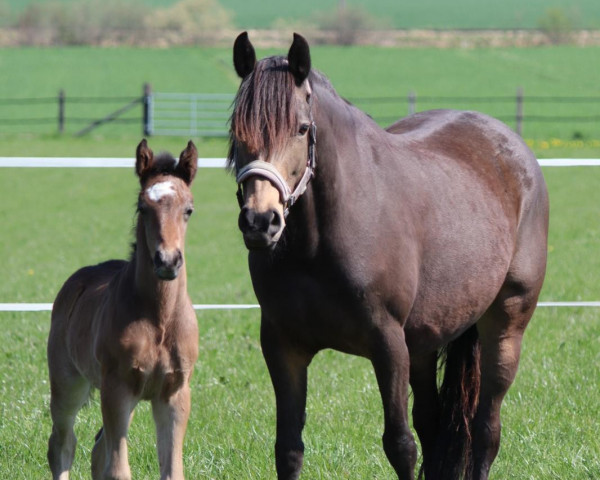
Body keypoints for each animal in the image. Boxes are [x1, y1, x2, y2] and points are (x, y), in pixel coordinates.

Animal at [47, 140, 200, 480]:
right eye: (143, 207)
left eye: (189, 209)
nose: (167, 261)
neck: (159, 319)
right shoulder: (117, 387)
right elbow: (118, 469)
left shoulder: (175, 392)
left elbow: (172, 469)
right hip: (68, 384)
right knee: (62, 445)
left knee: (97, 449)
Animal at [229, 31, 548, 478]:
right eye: (237, 131)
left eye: (302, 128)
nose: (261, 221)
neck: (316, 247)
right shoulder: (282, 347)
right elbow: (288, 448)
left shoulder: (388, 345)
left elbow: (400, 445)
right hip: (426, 340)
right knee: (434, 424)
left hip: (504, 327)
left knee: (487, 429)